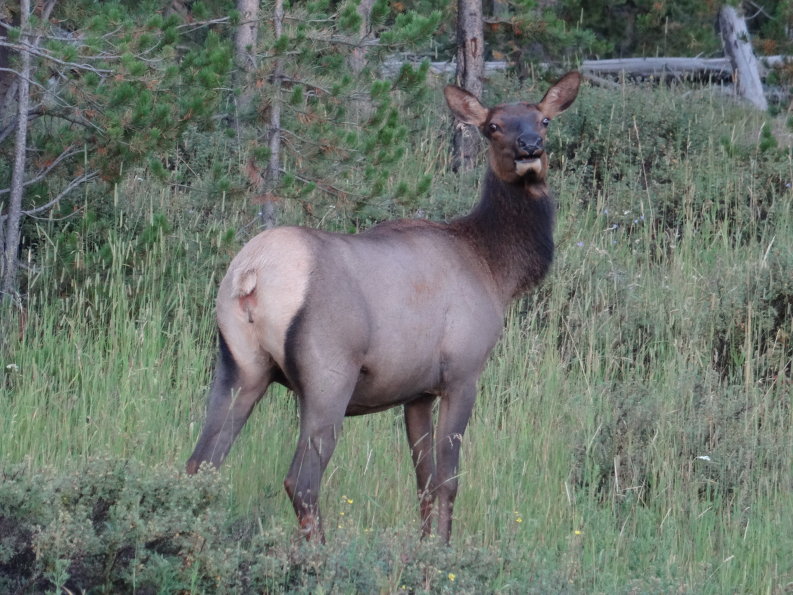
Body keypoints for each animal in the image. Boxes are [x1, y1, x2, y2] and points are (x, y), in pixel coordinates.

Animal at [187, 71, 580, 544]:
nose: (529, 149)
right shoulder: (463, 372)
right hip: (327, 373)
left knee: (201, 462)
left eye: (543, 120)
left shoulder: (417, 392)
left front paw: (426, 544)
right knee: (302, 480)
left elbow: (424, 481)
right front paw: (442, 550)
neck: (495, 268)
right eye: (493, 126)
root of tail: (252, 274)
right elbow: (448, 480)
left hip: (238, 364)